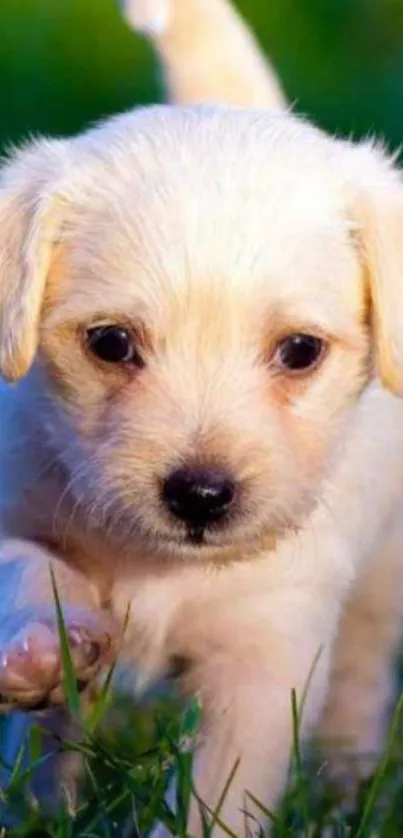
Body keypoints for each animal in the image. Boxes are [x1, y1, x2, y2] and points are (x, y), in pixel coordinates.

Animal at [0, 0, 403, 832]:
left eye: (299, 352)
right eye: (110, 343)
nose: (200, 496)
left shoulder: (265, 656)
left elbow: (218, 792)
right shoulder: (15, 490)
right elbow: (27, 563)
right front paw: (45, 645)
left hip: (383, 573)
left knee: (361, 672)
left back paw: (346, 781)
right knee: (48, 747)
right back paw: (38, 803)